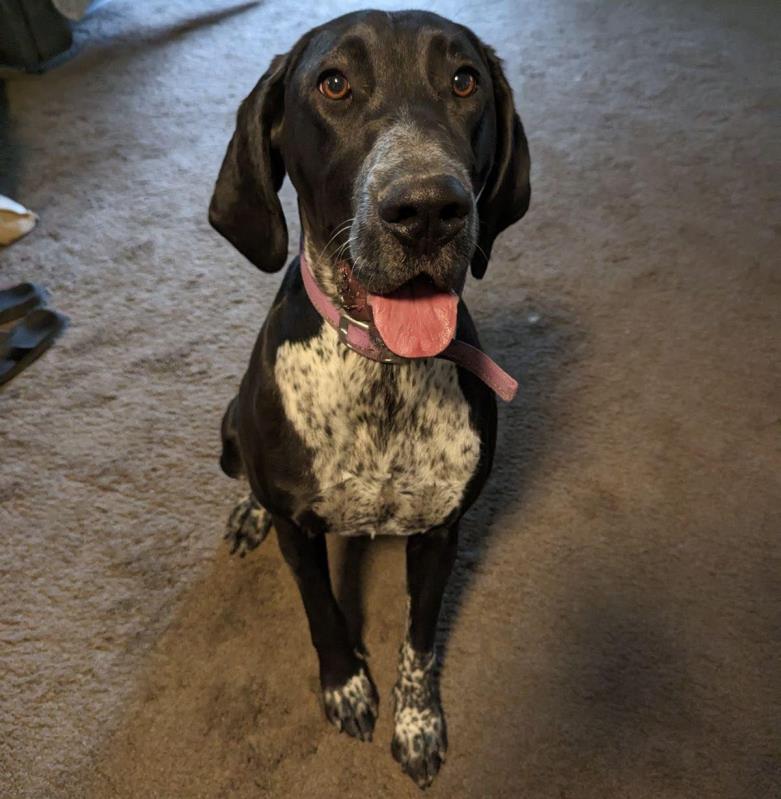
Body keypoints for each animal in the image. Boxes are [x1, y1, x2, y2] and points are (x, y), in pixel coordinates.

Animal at [212, 9, 532, 792]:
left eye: (463, 80)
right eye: (333, 84)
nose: (427, 210)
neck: (383, 373)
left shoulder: (441, 532)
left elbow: (419, 640)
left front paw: (416, 726)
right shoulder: (300, 533)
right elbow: (322, 611)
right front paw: (346, 687)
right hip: (229, 430)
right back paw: (245, 511)